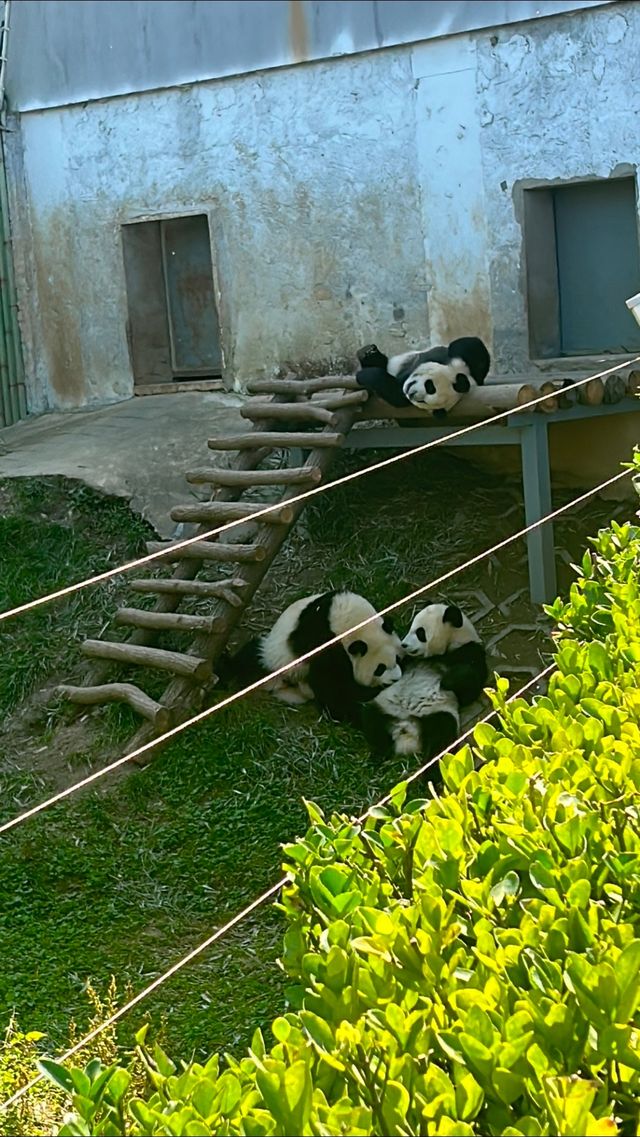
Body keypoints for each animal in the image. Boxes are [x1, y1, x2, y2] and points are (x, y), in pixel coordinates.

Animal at [230, 591, 402, 723]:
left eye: (397, 659)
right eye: (379, 669)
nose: (395, 679)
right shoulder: (322, 642)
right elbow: (333, 686)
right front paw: (350, 710)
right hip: (275, 657)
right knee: (249, 661)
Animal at [354, 334, 491, 420]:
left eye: (423, 401)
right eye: (430, 386)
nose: (411, 394)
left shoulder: (402, 395)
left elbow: (395, 393)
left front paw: (365, 375)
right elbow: (472, 345)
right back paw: (368, 353)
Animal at [361, 604, 491, 764]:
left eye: (420, 633)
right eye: (410, 627)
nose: (403, 644)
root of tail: (407, 730)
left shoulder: (470, 651)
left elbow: (469, 686)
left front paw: (447, 680)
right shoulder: (408, 661)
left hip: (437, 712)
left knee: (442, 737)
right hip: (383, 706)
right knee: (371, 722)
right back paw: (379, 754)